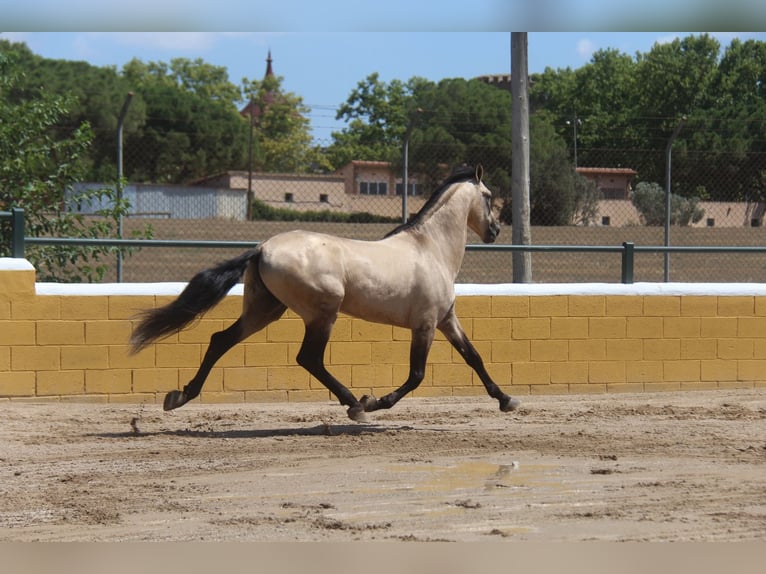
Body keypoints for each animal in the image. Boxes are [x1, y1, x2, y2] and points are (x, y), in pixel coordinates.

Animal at [132, 164, 520, 426]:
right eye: (488, 197)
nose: (495, 231)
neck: (430, 248)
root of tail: (262, 248)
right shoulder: (424, 325)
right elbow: (416, 375)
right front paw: (375, 401)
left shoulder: (446, 319)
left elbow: (474, 357)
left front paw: (506, 399)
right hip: (322, 313)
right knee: (309, 358)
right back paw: (355, 405)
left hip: (265, 310)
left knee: (220, 340)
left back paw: (180, 396)